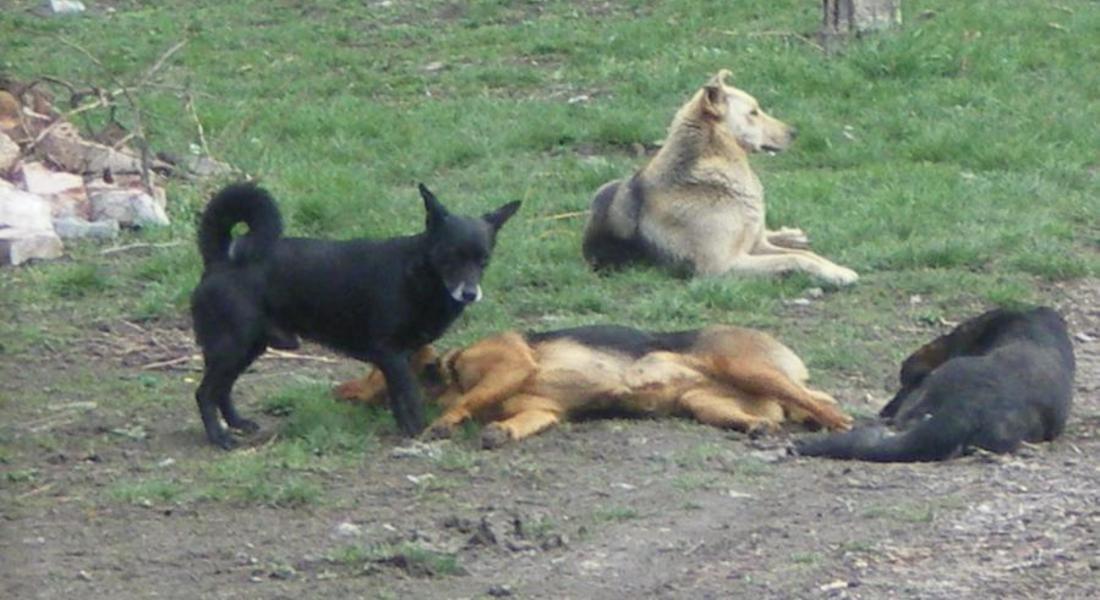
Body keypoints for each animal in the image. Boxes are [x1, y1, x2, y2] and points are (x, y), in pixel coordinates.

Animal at [190, 182, 519, 449]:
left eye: (483, 260)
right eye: (450, 257)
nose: (469, 293)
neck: (417, 273)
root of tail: (220, 258)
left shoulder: (400, 357)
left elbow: (399, 397)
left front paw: (405, 428)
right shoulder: (390, 352)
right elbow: (410, 395)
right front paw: (418, 430)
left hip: (248, 347)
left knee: (223, 389)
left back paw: (237, 423)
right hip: (233, 346)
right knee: (205, 393)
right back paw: (220, 438)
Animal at [580, 70, 853, 286]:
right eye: (753, 112)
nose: (794, 133)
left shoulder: (754, 246)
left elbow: (808, 255)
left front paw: (836, 269)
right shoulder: (723, 266)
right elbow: (794, 258)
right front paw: (837, 274)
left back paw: (791, 234)